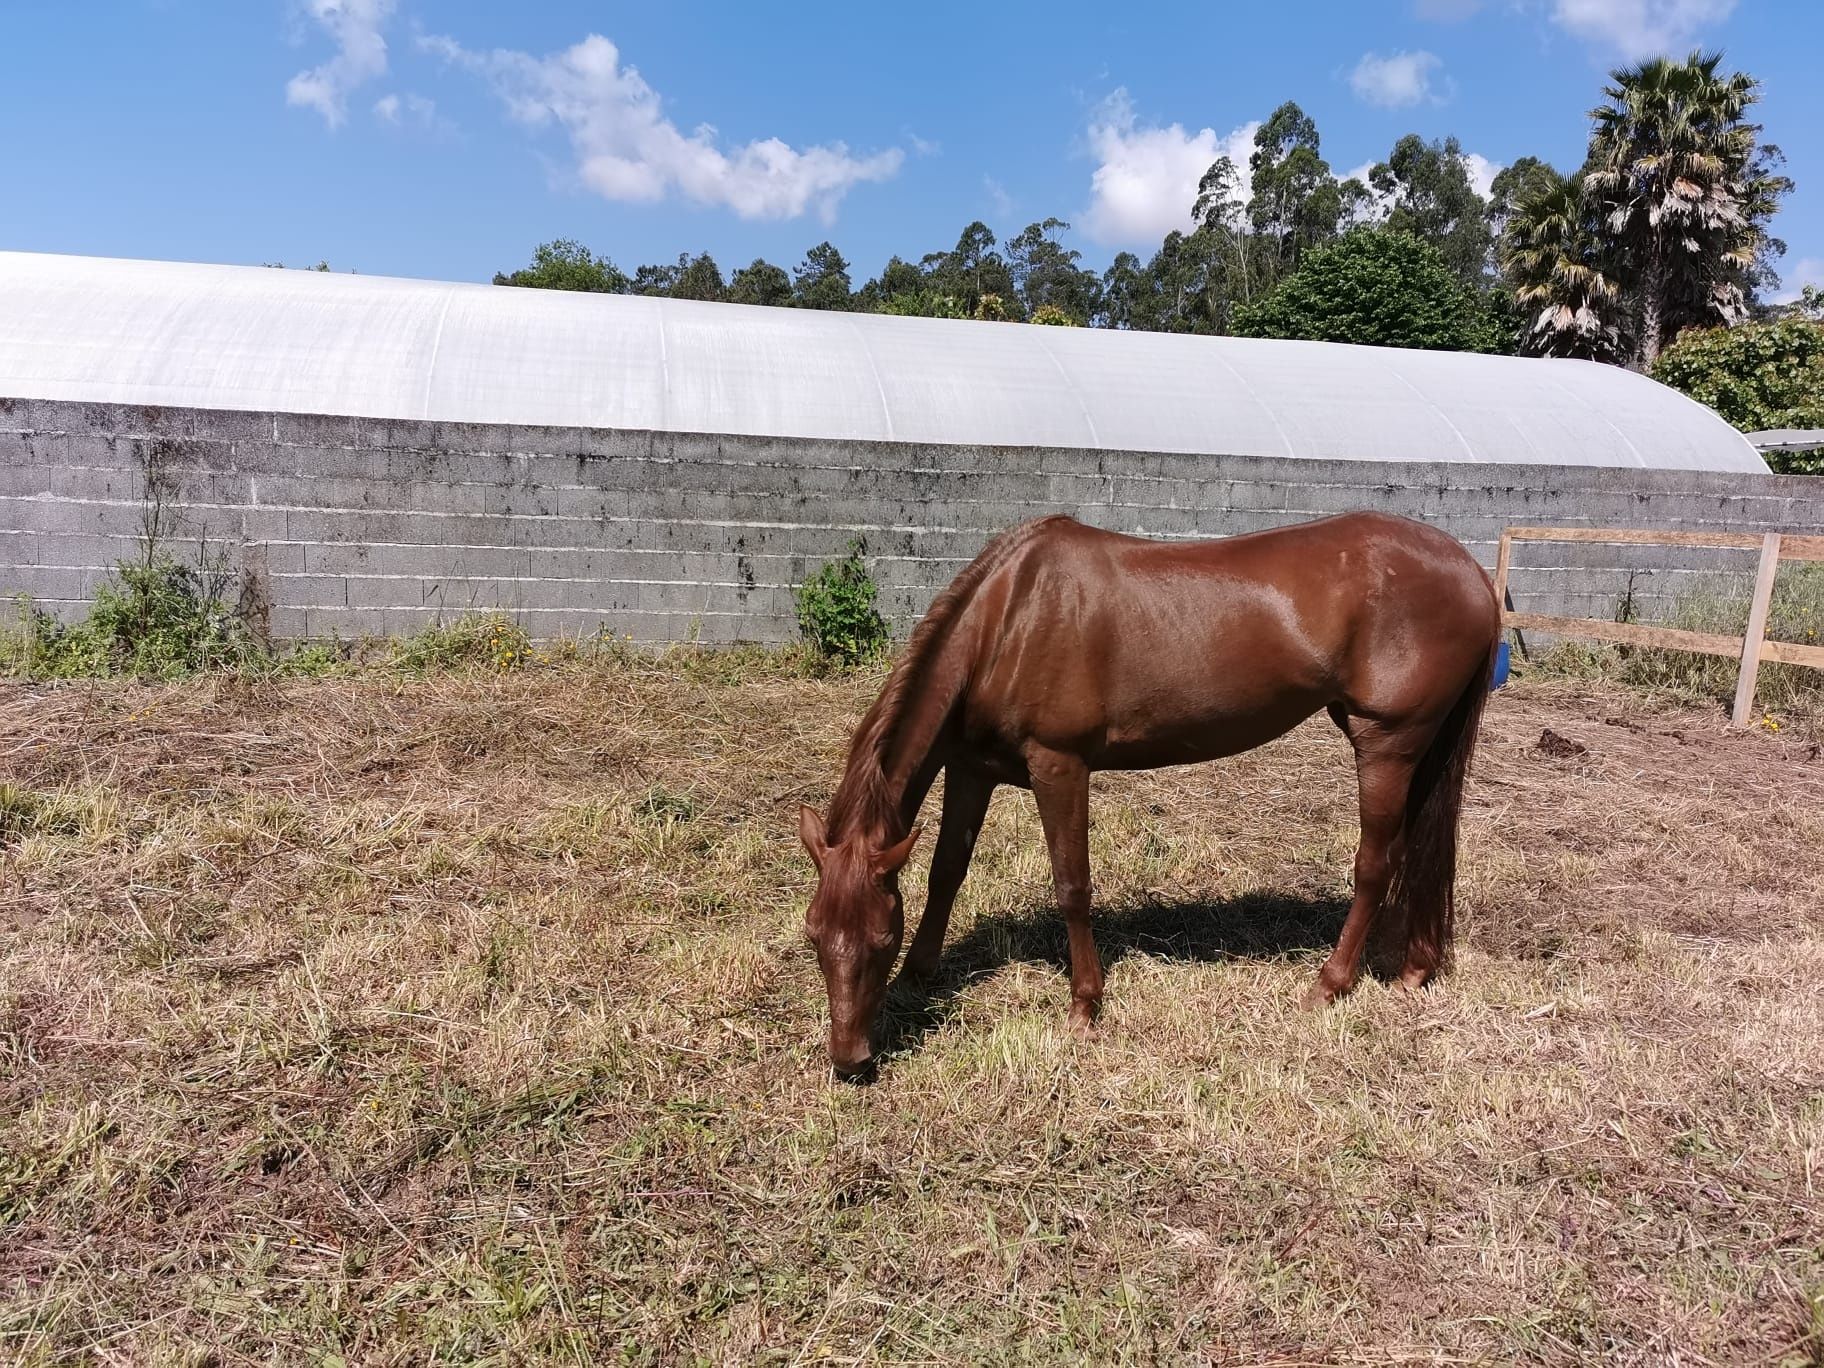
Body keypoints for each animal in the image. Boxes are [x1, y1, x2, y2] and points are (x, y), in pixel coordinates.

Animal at [798, 514, 1495, 1079]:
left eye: (879, 939)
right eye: (813, 935)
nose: (850, 1060)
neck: (1008, 617)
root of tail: (1474, 574)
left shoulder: (1059, 765)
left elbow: (1072, 886)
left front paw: (1084, 1004)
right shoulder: (972, 768)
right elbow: (946, 871)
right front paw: (920, 975)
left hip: (1386, 745)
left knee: (1376, 865)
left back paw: (1328, 985)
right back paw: (1413, 968)